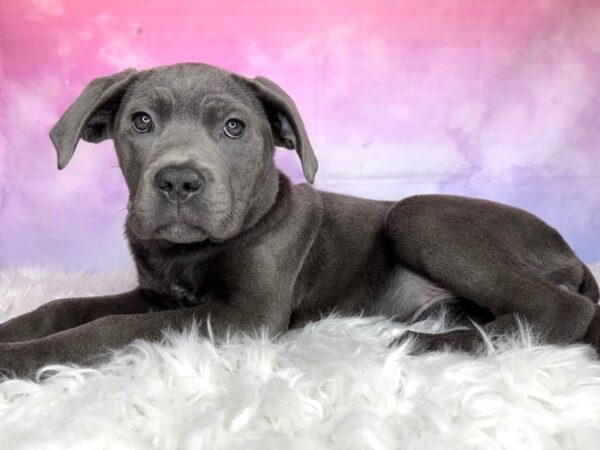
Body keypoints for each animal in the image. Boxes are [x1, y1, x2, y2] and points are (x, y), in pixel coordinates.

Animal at [1, 63, 600, 378]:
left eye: (235, 127)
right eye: (141, 122)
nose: (178, 181)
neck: (191, 251)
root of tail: (567, 250)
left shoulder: (247, 315)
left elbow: (109, 327)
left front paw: (21, 359)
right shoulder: (158, 295)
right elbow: (64, 306)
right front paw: (13, 333)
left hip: (419, 216)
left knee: (563, 310)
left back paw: (431, 345)